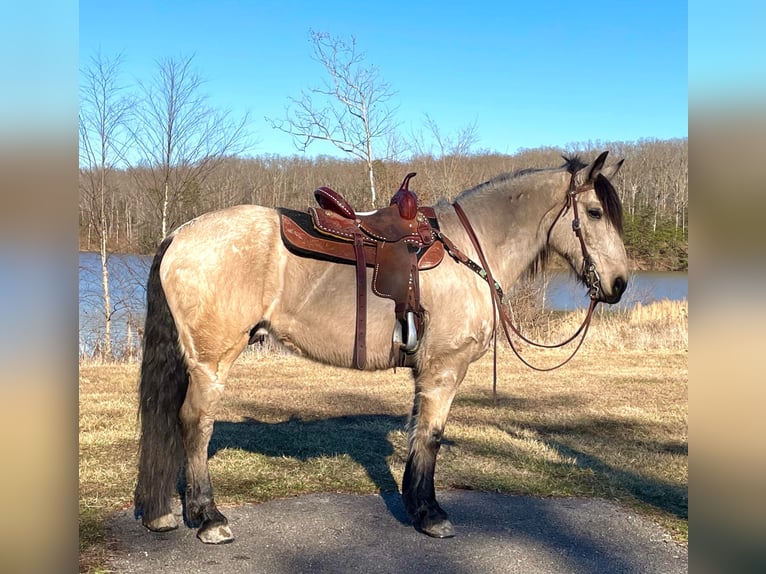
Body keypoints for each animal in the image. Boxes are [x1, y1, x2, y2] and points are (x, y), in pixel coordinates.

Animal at [135, 151, 628, 548]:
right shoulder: (444, 369)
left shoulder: (424, 371)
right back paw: (208, 517)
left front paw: (414, 504)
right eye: (595, 212)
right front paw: (430, 515)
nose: (620, 284)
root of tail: (179, 234)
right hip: (211, 361)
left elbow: (417, 434)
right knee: (195, 424)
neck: (469, 251)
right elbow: (431, 436)